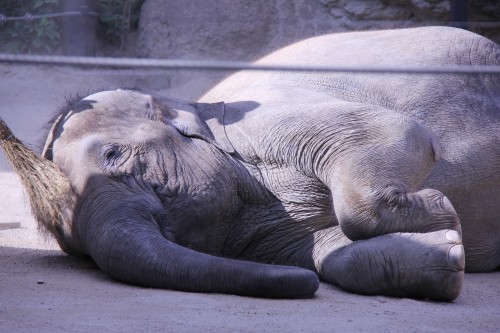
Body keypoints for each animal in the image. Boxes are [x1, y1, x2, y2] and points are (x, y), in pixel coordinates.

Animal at [37, 26, 498, 300]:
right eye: (75, 243)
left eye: (112, 156)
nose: (307, 290)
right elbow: (331, 254)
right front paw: (449, 249)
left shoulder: (269, 116)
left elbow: (398, 131)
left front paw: (443, 212)